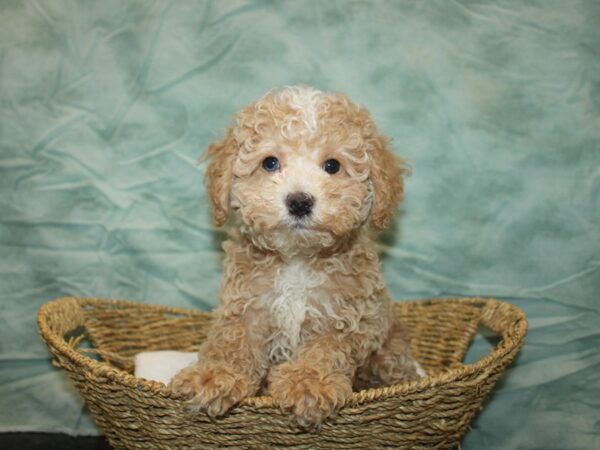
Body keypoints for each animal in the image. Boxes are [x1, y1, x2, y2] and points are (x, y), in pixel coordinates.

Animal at [171, 85, 424, 428]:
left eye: (332, 166)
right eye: (270, 163)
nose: (300, 202)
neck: (297, 259)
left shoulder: (349, 314)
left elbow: (326, 348)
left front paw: (308, 383)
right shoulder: (246, 305)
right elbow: (232, 341)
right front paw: (213, 375)